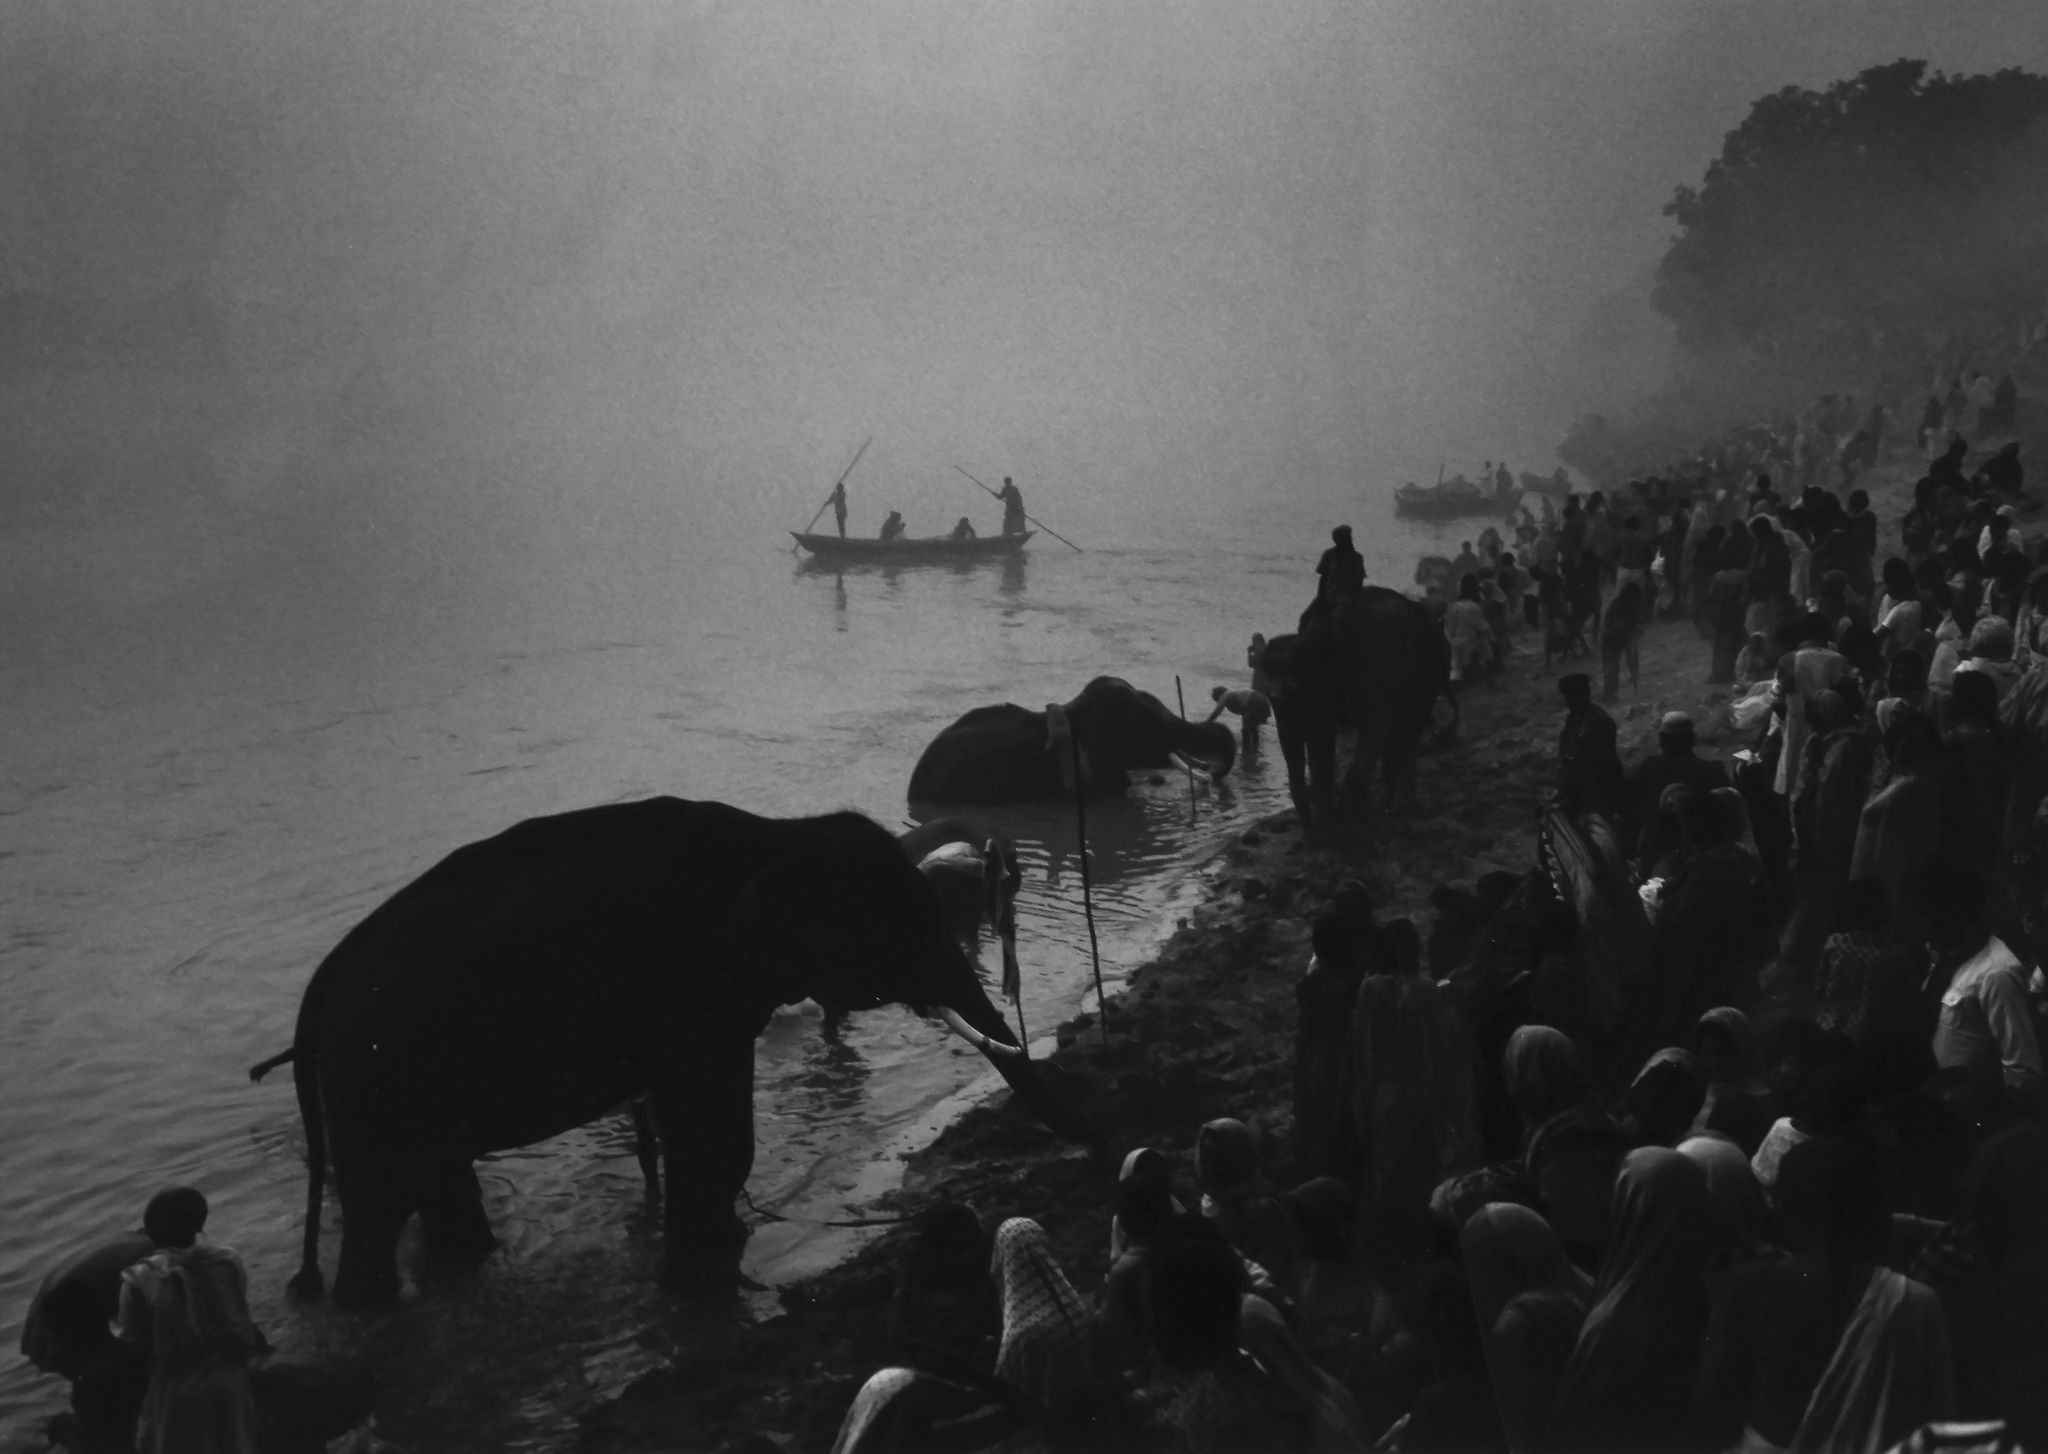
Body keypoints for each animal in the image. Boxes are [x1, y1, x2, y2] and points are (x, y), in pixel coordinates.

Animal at [247, 798, 1097, 1310]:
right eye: (901, 930)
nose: (1092, 1142)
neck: (780, 834)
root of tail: (315, 999)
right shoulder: (689, 987)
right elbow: (711, 1126)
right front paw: (709, 1265)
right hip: (374, 1081)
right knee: (382, 1206)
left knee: (437, 1187)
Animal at [1253, 585, 1449, 827]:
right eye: (1270, 695)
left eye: (1296, 690)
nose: (1311, 831)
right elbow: (1320, 741)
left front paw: (1335, 816)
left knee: (1397, 732)